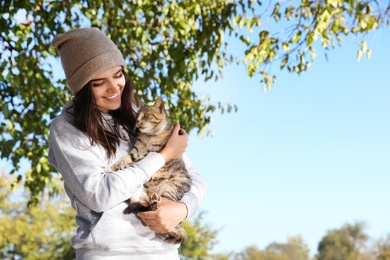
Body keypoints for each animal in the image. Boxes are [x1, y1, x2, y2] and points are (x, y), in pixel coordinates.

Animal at [105, 97, 192, 244]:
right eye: (137, 117)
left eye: (146, 115)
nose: (138, 122)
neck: (148, 137)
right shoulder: (136, 151)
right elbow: (124, 159)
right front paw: (112, 167)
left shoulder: (151, 153)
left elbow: (133, 163)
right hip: (139, 194)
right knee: (137, 204)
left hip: (168, 189)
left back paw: (154, 201)